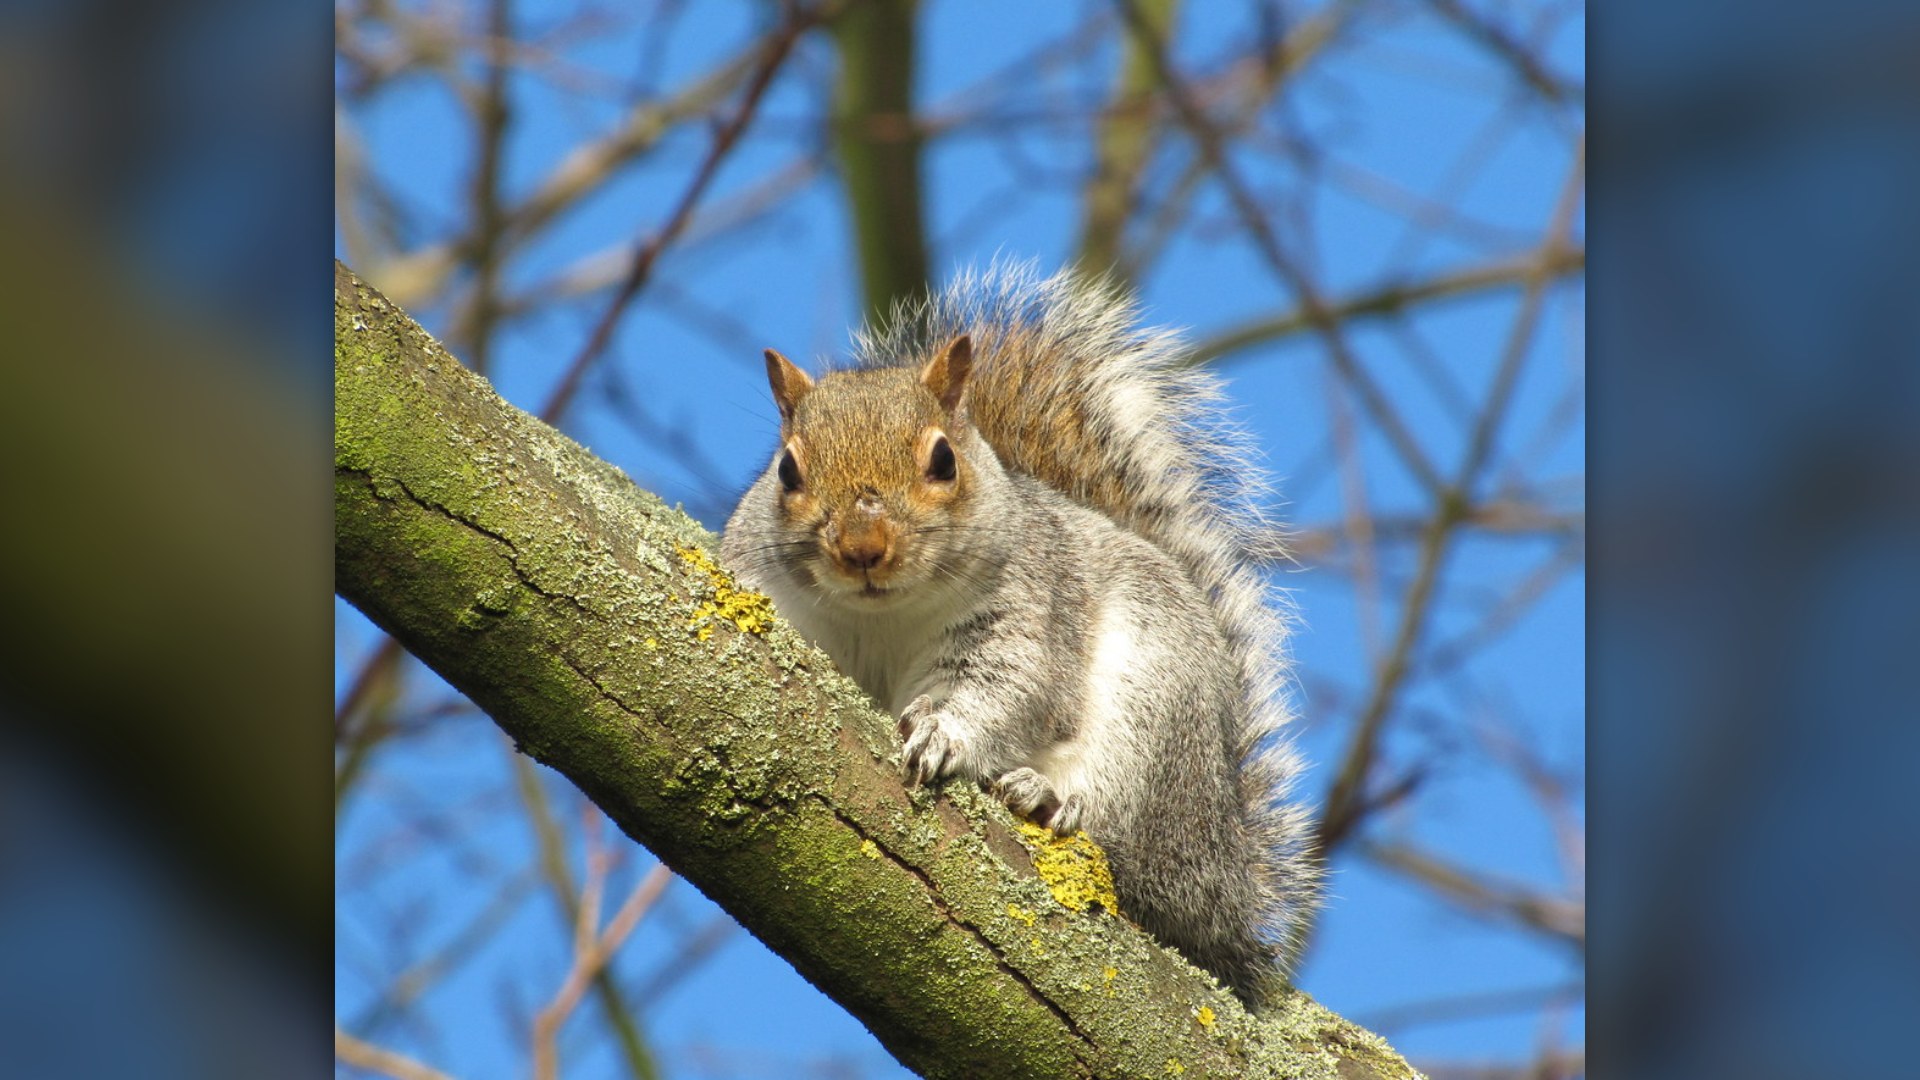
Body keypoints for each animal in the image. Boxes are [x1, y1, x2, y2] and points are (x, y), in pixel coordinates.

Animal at [721, 264, 1319, 1005]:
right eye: (786, 470)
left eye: (943, 461)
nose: (863, 549)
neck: (881, 615)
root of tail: (1229, 878)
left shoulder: (1026, 614)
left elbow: (1011, 691)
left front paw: (945, 736)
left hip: (1157, 712)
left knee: (1134, 851)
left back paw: (1054, 800)